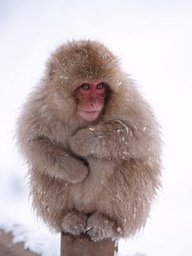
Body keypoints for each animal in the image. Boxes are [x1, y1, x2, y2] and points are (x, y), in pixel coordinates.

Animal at [16, 40, 161, 242]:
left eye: (100, 86)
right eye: (85, 87)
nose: (94, 103)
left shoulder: (128, 99)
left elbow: (142, 136)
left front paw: (82, 141)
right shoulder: (40, 104)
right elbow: (33, 142)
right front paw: (76, 171)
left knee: (130, 163)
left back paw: (108, 223)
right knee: (44, 171)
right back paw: (69, 218)